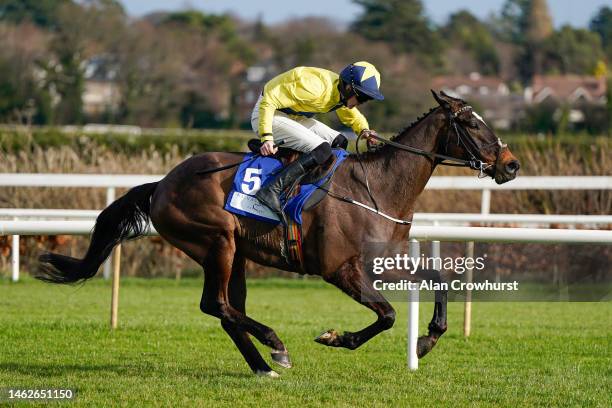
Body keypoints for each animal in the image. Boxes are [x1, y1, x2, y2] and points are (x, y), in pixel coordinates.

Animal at [35, 91, 520, 378]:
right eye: (473, 125)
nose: (512, 164)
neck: (379, 187)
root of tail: (162, 184)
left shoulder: (387, 258)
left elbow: (440, 279)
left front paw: (426, 340)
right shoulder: (338, 269)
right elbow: (386, 315)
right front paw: (337, 338)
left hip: (236, 254)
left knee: (226, 309)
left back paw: (262, 364)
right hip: (216, 243)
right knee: (216, 304)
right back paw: (275, 345)